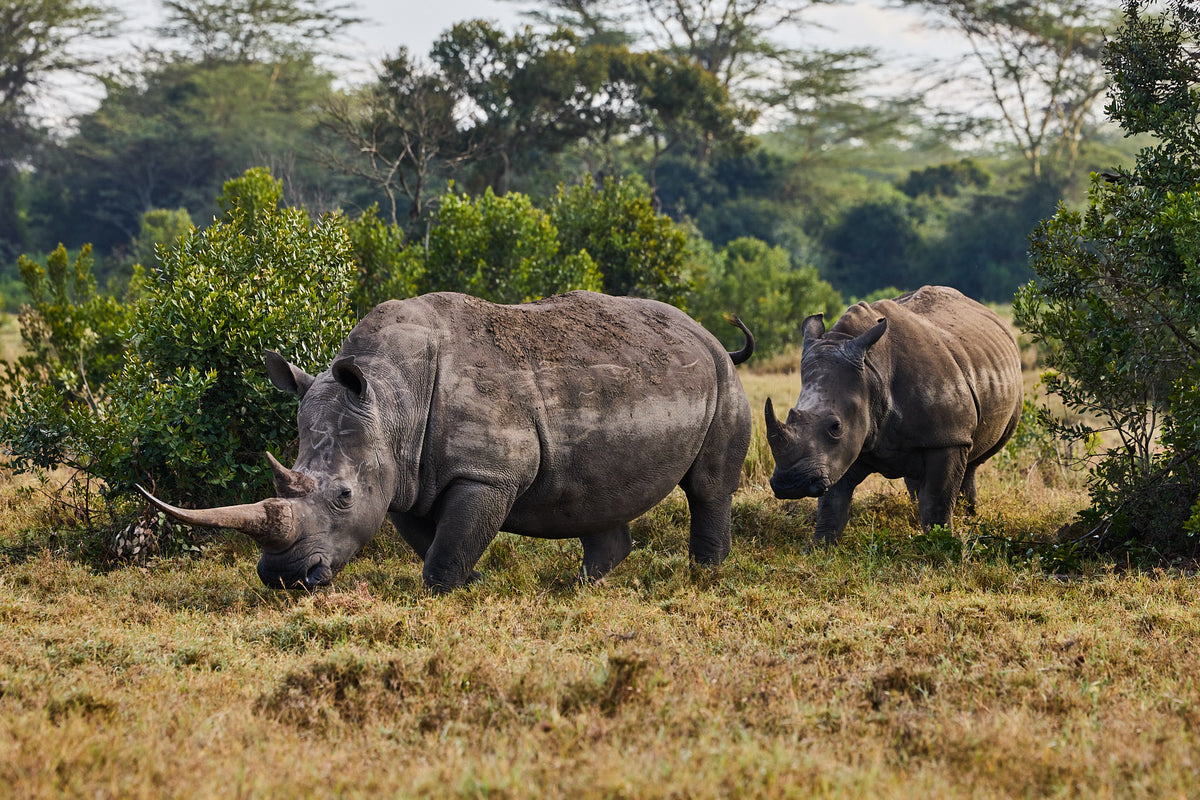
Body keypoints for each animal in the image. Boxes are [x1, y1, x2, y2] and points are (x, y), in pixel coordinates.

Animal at [139, 290, 753, 592]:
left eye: (342, 497)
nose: (284, 579)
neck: (390, 397)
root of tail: (703, 331)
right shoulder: (404, 475)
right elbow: (429, 538)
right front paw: (475, 582)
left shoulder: (487, 472)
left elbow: (447, 547)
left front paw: (448, 593)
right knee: (595, 493)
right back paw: (581, 589)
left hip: (723, 377)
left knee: (708, 487)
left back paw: (704, 576)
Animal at [764, 286, 1022, 542]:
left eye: (836, 427)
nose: (790, 484)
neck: (873, 372)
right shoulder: (839, 451)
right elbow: (832, 504)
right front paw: (819, 545)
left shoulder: (949, 437)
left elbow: (937, 501)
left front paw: (941, 542)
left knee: (973, 462)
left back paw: (969, 515)